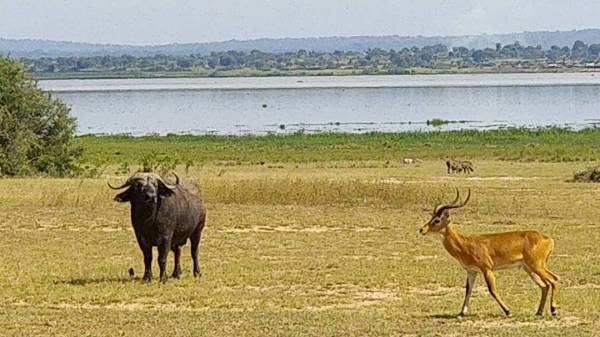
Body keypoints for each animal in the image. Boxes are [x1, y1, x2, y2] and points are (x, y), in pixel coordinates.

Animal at [420, 188, 560, 316]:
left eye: (437, 220)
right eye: (432, 217)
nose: (421, 229)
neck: (466, 243)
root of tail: (548, 238)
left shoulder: (487, 269)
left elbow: (492, 290)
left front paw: (508, 311)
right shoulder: (472, 271)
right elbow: (468, 290)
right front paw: (461, 313)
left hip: (536, 265)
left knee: (554, 279)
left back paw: (553, 310)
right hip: (528, 268)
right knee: (544, 285)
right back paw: (539, 312)